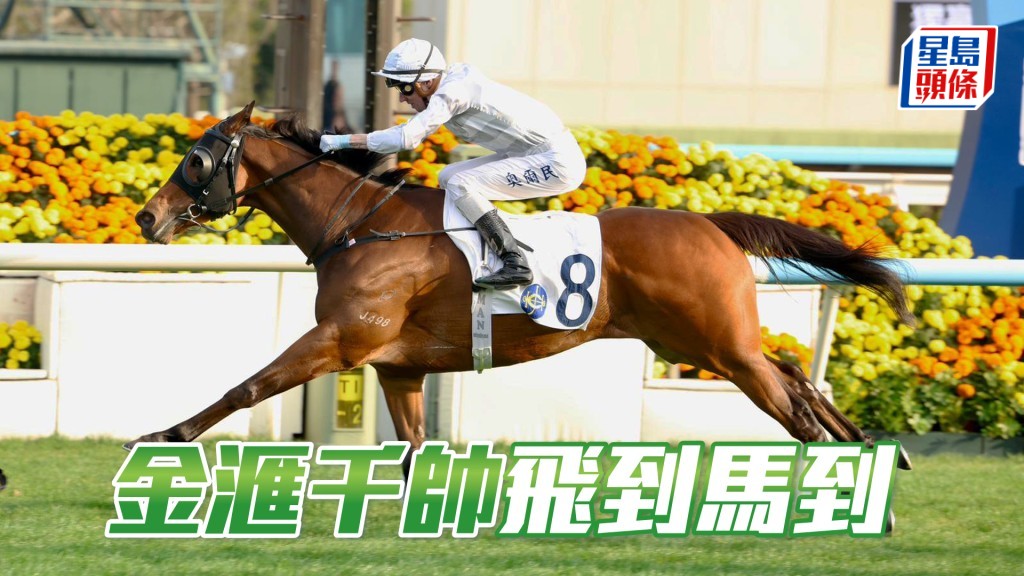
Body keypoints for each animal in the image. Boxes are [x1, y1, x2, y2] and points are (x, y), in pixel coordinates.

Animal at [132, 102, 914, 476]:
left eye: (195, 159)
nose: (146, 216)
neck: (360, 226)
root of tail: (709, 221)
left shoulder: (343, 339)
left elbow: (248, 387)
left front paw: (164, 433)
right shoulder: (398, 366)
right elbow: (412, 447)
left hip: (719, 345)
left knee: (793, 408)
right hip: (703, 342)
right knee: (798, 379)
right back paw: (876, 455)